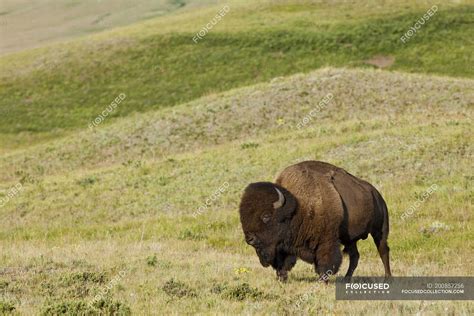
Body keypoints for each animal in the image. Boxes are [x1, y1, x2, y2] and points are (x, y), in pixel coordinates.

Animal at [239, 160, 390, 282]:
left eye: (266, 216)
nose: (250, 239)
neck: (297, 207)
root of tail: (376, 193)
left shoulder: (327, 241)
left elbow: (325, 262)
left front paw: (322, 280)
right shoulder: (282, 247)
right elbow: (282, 263)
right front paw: (282, 278)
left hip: (379, 231)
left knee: (383, 251)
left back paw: (387, 278)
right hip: (350, 239)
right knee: (355, 257)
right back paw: (346, 279)